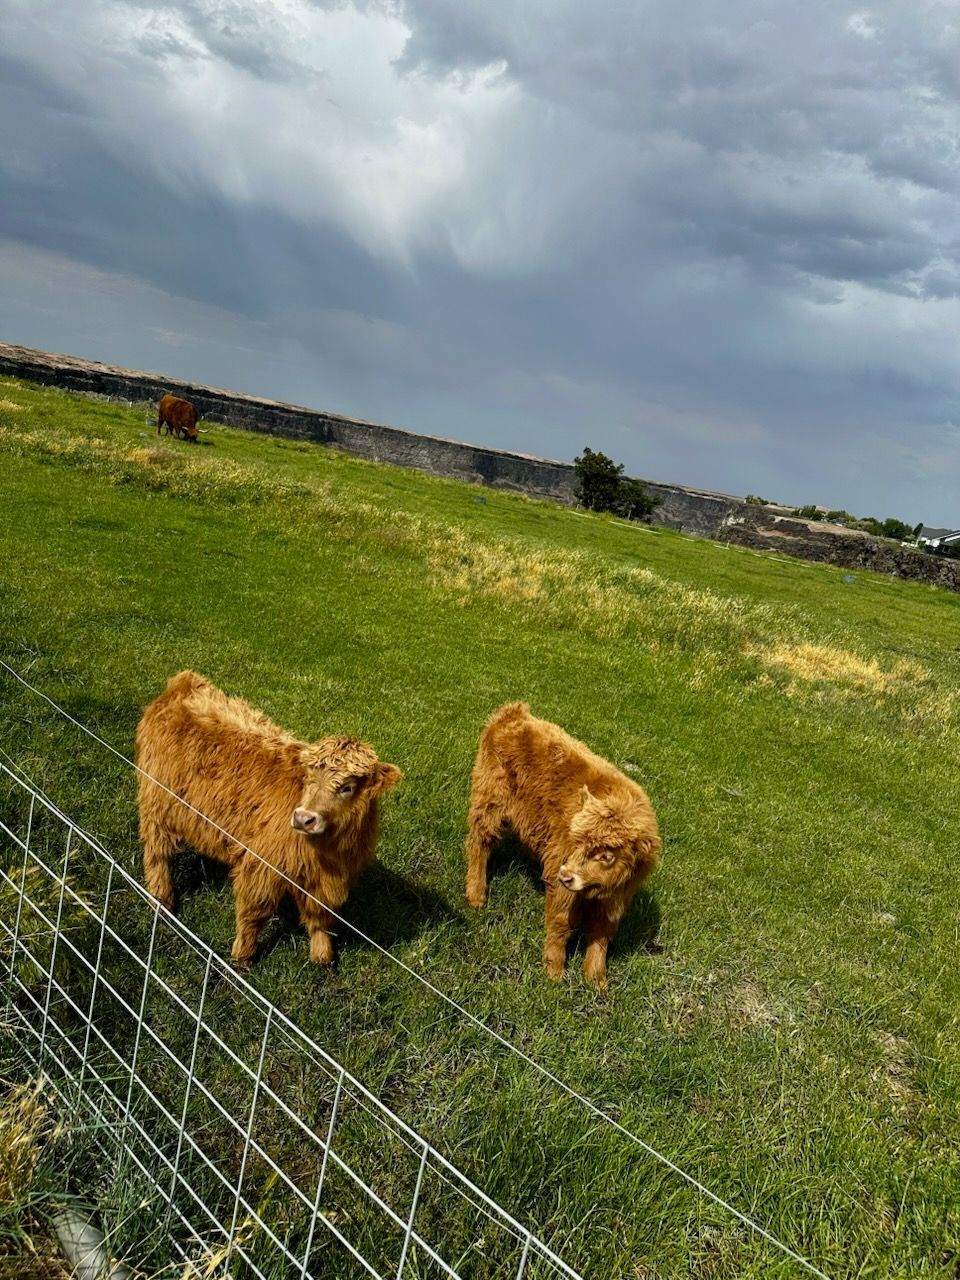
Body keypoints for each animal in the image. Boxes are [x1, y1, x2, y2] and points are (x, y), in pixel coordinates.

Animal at [136, 671, 401, 969]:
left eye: (347, 787)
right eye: (309, 778)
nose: (303, 818)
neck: (329, 852)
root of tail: (183, 683)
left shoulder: (325, 880)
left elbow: (320, 917)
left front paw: (323, 956)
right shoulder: (260, 865)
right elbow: (254, 913)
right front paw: (242, 957)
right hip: (157, 802)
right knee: (157, 852)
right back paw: (161, 898)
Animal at [465, 702, 660, 988]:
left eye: (606, 855)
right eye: (576, 842)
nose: (566, 875)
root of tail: (515, 713)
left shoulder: (618, 897)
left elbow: (601, 935)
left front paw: (597, 980)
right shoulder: (561, 879)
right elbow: (560, 923)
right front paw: (554, 971)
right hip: (489, 800)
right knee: (479, 843)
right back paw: (476, 895)